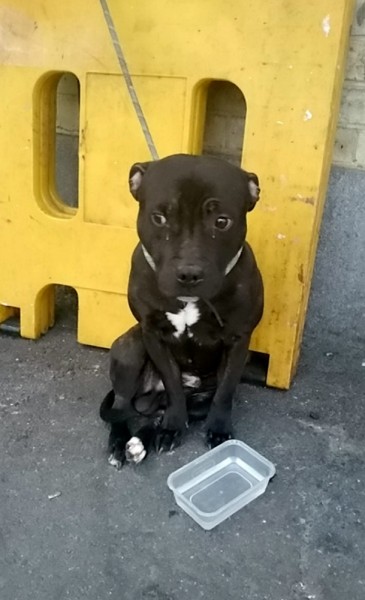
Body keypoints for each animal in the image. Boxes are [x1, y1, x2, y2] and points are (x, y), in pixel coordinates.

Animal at [101, 152, 264, 466]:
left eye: (222, 221)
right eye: (159, 218)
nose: (189, 273)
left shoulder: (239, 341)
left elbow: (225, 392)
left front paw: (218, 430)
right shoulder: (152, 334)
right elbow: (173, 385)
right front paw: (173, 426)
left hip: (199, 397)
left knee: (173, 410)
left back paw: (143, 439)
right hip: (130, 348)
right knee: (122, 408)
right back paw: (121, 442)